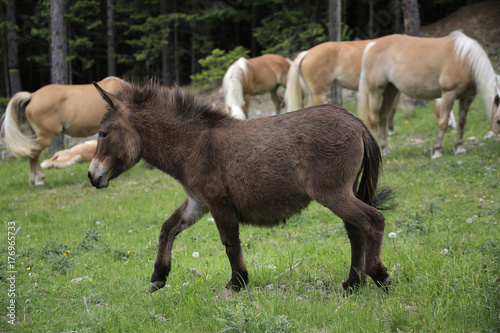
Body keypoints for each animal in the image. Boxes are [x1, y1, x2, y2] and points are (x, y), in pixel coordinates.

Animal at [89, 80, 394, 294]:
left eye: (103, 133)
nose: (92, 176)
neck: (192, 145)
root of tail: (357, 123)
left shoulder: (218, 202)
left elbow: (230, 243)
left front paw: (238, 282)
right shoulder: (197, 202)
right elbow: (167, 229)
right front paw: (158, 277)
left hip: (332, 192)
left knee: (373, 222)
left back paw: (379, 276)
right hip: (341, 191)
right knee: (355, 231)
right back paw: (353, 283)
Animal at [358, 30, 498, 158]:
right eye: (498, 120)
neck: (465, 60)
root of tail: (372, 45)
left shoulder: (467, 97)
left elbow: (462, 122)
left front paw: (459, 148)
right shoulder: (448, 94)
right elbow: (443, 123)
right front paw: (437, 151)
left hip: (391, 90)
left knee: (383, 117)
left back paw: (385, 150)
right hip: (376, 91)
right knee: (374, 119)